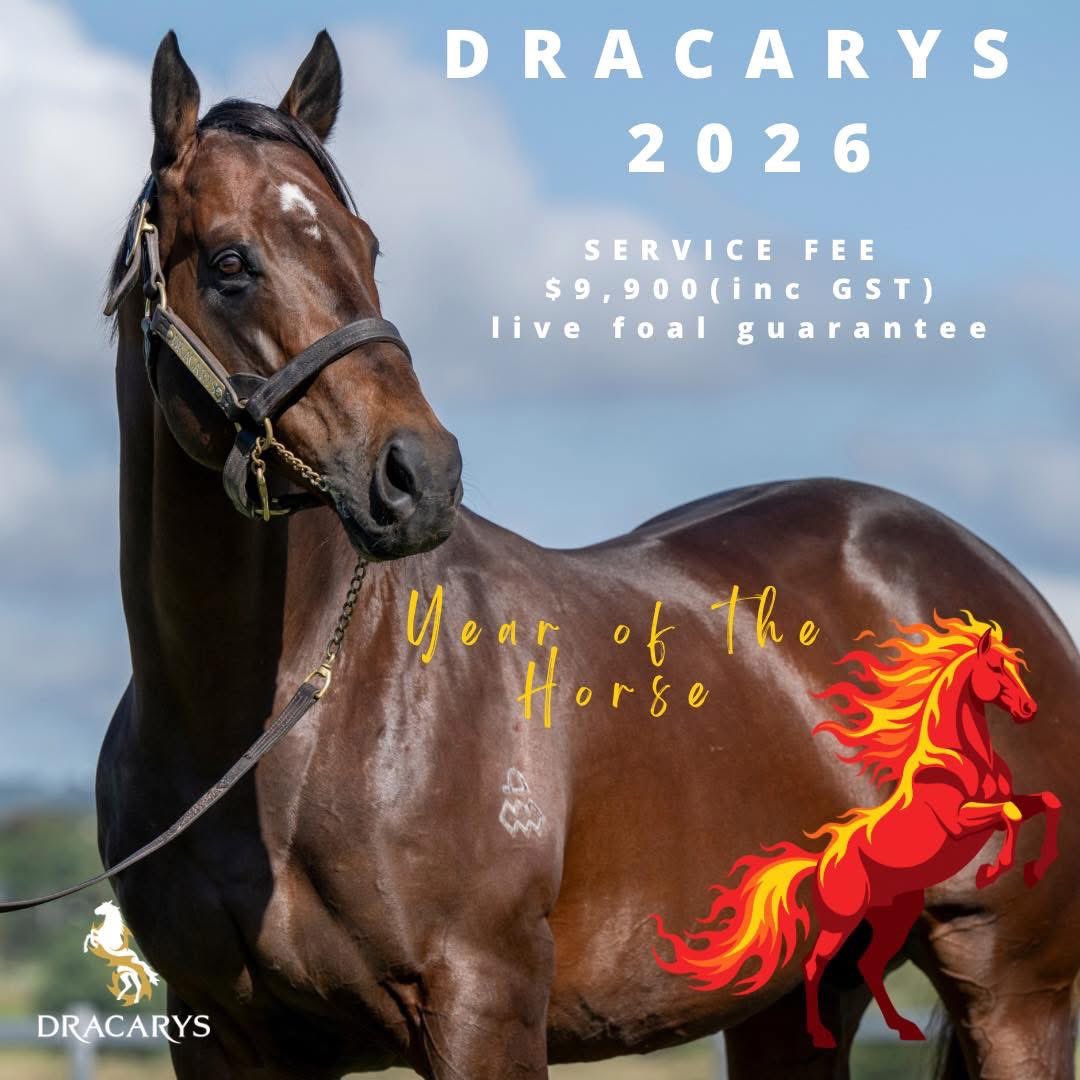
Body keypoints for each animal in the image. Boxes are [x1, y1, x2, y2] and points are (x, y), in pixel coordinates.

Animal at [653, 613, 1060, 1049]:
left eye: (1016, 665)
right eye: (996, 667)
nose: (1029, 709)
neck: (958, 759)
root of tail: (818, 864)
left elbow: (1043, 801)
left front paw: (1035, 868)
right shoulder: (960, 821)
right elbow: (1012, 813)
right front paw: (993, 870)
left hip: (892, 920)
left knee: (867, 966)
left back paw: (904, 1028)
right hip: (842, 922)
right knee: (816, 965)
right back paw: (822, 1033)